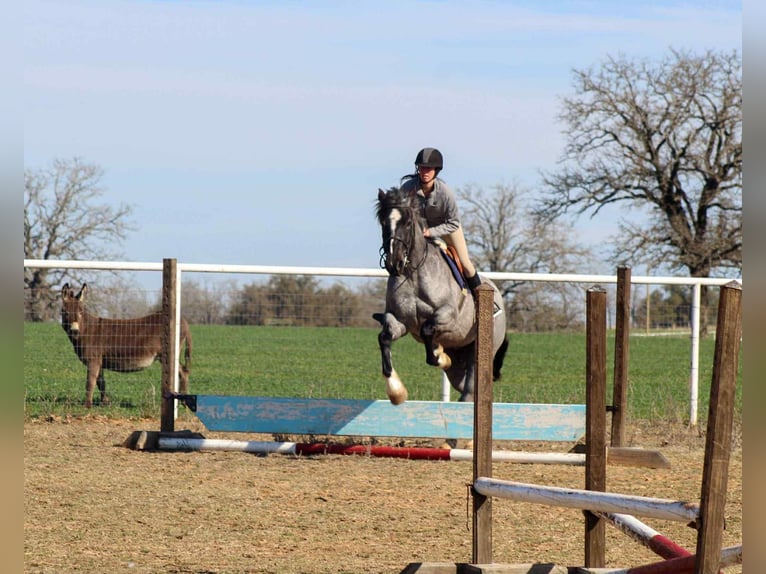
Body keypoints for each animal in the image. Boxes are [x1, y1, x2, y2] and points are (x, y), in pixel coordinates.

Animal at [60, 283, 192, 407]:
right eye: (65, 312)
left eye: (80, 312)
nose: (74, 331)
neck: (86, 330)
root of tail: (183, 321)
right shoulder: (99, 361)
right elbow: (101, 382)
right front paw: (105, 403)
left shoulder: (93, 360)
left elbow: (90, 383)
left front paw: (87, 405)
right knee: (183, 372)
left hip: (168, 355)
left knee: (183, 372)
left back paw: (184, 403)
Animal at [373, 186, 509, 405]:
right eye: (383, 223)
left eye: (407, 223)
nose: (394, 264)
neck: (413, 275)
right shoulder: (400, 321)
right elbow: (384, 338)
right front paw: (396, 391)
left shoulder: (448, 315)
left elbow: (428, 330)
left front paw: (439, 355)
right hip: (459, 361)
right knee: (465, 389)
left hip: (481, 349)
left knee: (471, 388)